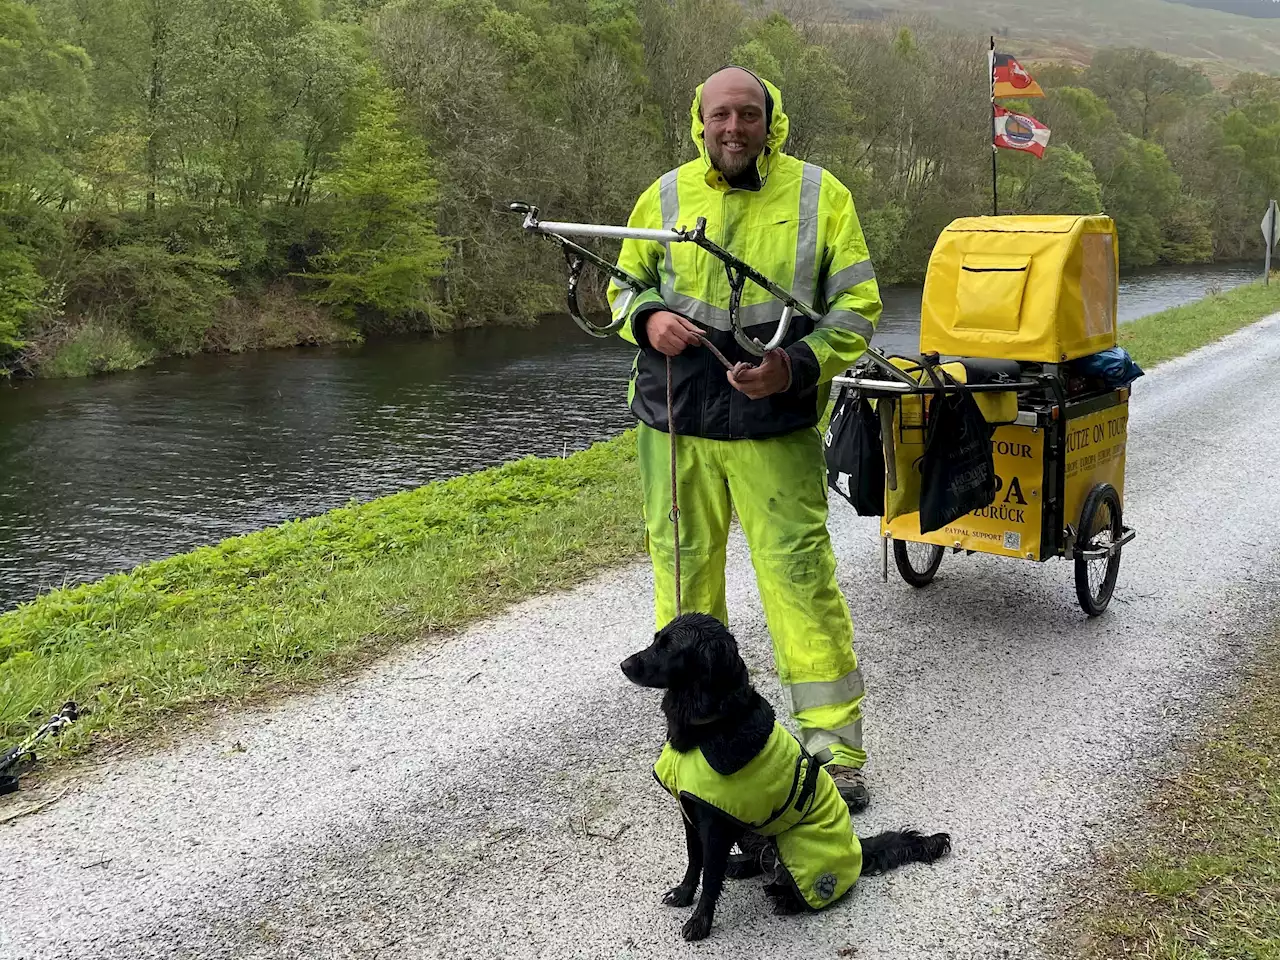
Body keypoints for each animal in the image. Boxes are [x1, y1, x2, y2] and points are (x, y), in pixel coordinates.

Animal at [619, 611, 952, 942]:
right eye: (656, 640)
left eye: (668, 648)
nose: (623, 665)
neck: (710, 724)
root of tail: (856, 845)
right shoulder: (691, 815)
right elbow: (694, 861)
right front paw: (684, 894)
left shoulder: (714, 826)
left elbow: (710, 876)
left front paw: (700, 922)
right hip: (751, 830)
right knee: (761, 859)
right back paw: (740, 865)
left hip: (795, 846)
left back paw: (785, 897)